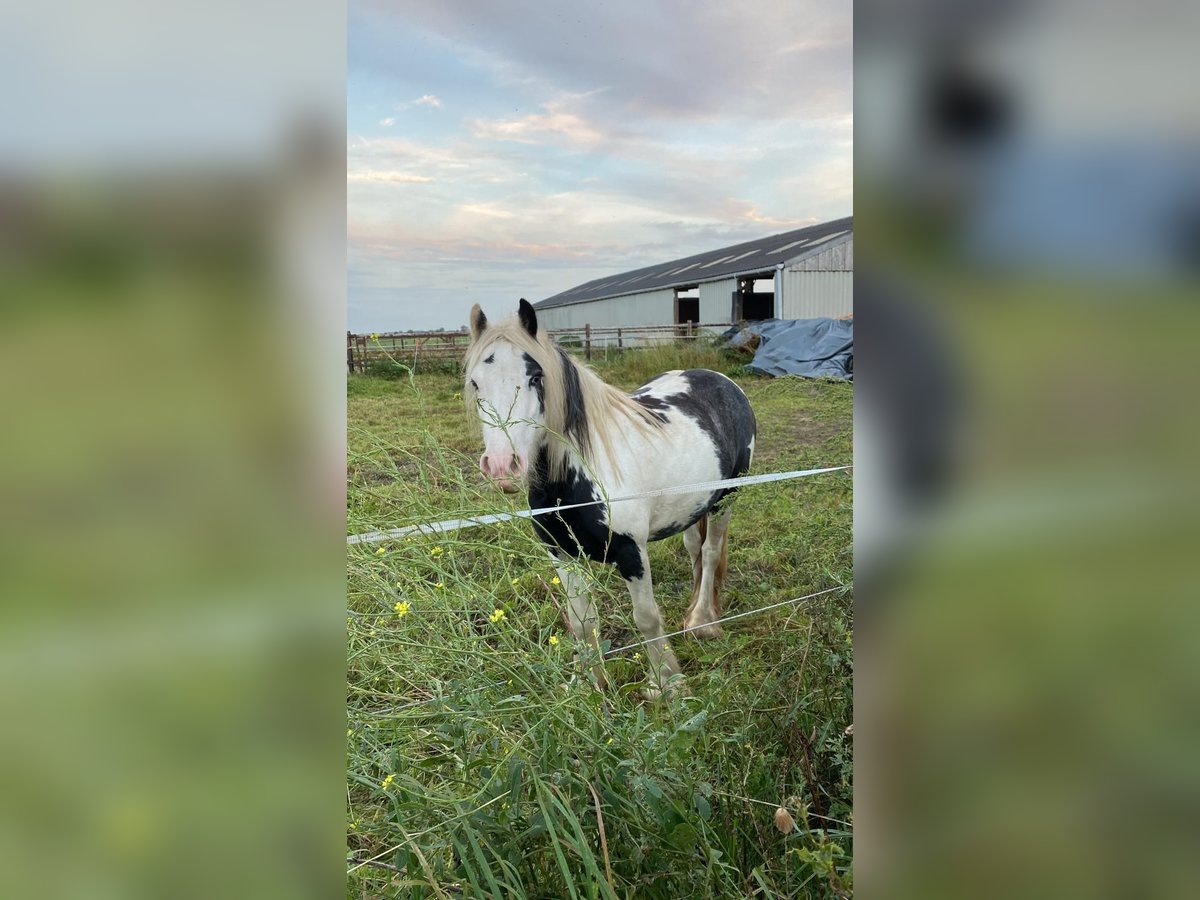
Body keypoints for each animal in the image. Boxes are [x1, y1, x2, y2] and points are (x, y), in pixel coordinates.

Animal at [463, 301, 753, 696]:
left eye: (536, 377)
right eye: (476, 382)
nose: (502, 466)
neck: (579, 476)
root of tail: (722, 380)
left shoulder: (632, 553)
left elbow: (646, 618)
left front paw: (666, 685)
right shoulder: (562, 554)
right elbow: (582, 621)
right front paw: (588, 682)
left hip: (727, 499)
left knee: (710, 553)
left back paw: (702, 621)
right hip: (693, 506)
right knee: (695, 548)